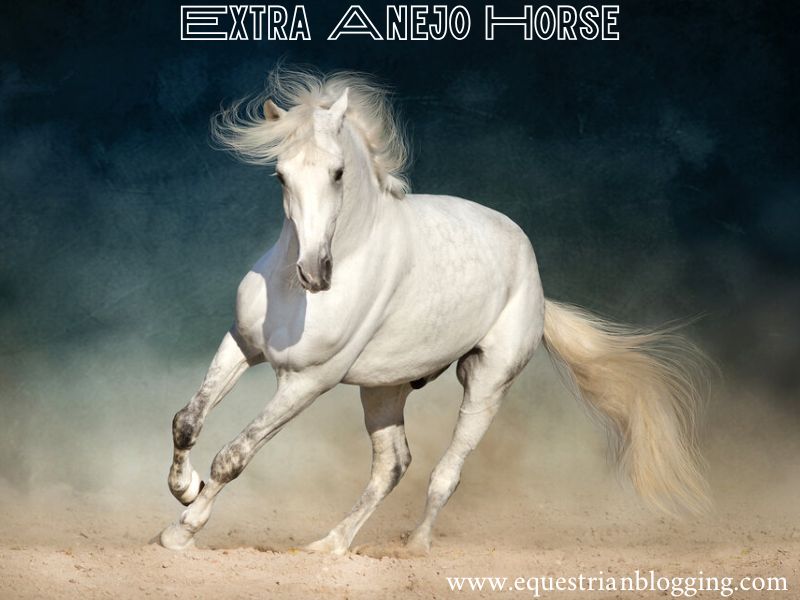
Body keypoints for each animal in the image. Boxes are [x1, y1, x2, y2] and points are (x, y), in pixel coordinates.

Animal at [159, 68, 711, 556]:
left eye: (338, 173)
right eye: (280, 175)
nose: (314, 273)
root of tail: (535, 281)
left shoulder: (307, 381)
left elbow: (234, 455)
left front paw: (180, 532)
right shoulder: (242, 345)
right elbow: (188, 420)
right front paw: (184, 488)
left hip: (486, 382)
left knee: (446, 472)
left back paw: (415, 548)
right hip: (383, 388)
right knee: (392, 465)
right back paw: (329, 545)